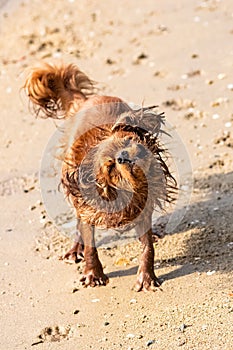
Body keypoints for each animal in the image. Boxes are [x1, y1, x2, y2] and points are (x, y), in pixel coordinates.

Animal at [24, 61, 177, 292]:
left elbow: (147, 246)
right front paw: (93, 274)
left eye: (128, 141)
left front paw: (146, 277)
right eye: (111, 165)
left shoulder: (144, 204)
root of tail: (85, 100)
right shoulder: (89, 205)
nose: (125, 157)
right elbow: (90, 243)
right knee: (79, 221)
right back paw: (75, 250)